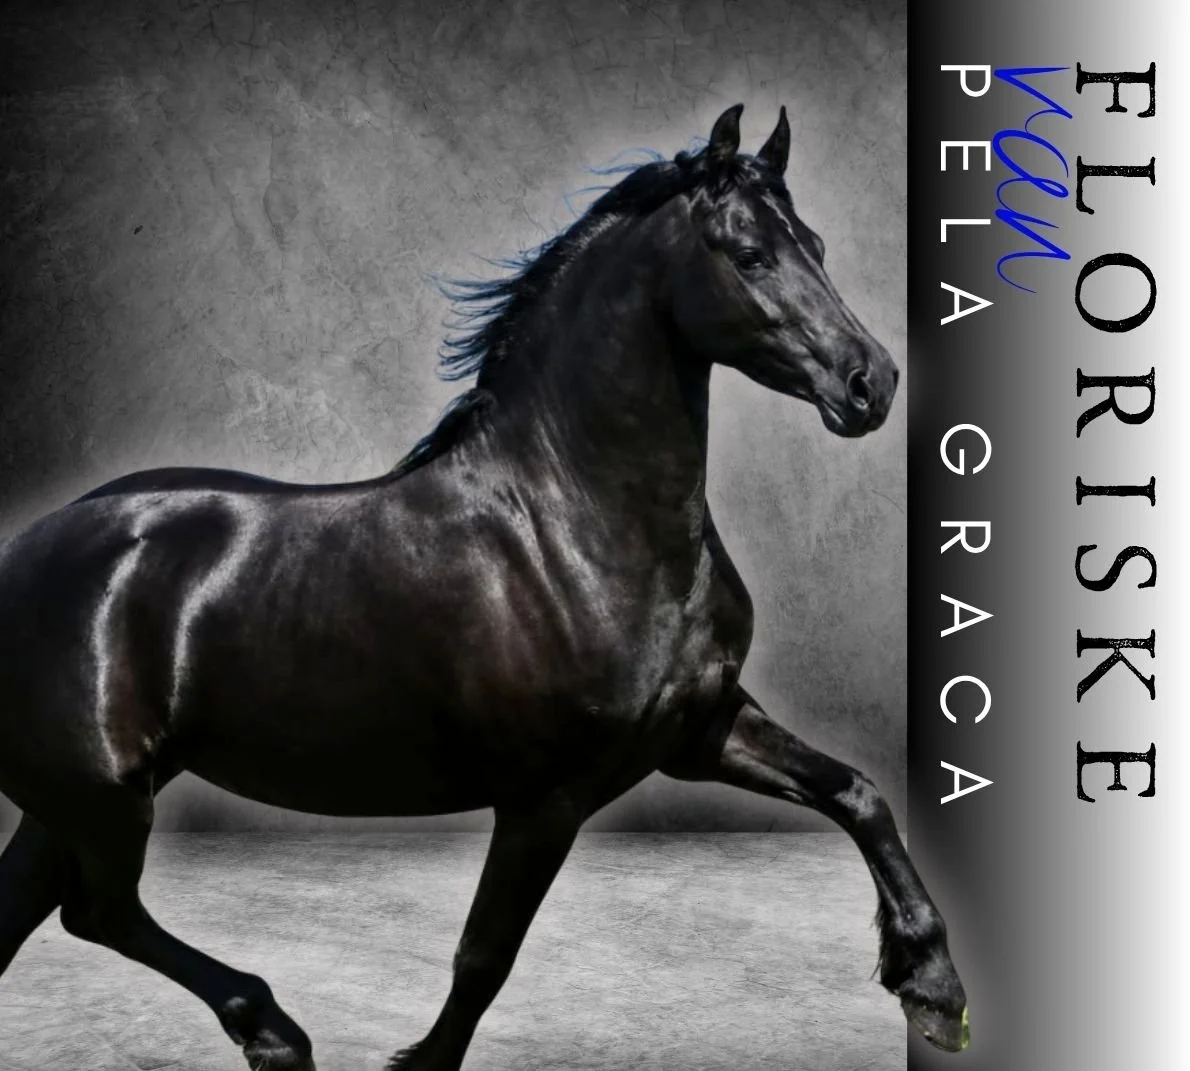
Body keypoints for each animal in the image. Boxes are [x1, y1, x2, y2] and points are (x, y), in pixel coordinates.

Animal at [0, 104, 967, 1070]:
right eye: (751, 254)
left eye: (817, 246)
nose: (872, 382)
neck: (576, 527)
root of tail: (23, 552)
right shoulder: (546, 796)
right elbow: (485, 954)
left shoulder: (698, 729)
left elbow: (857, 792)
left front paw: (933, 991)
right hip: (101, 796)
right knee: (98, 911)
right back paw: (275, 1031)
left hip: (75, 801)